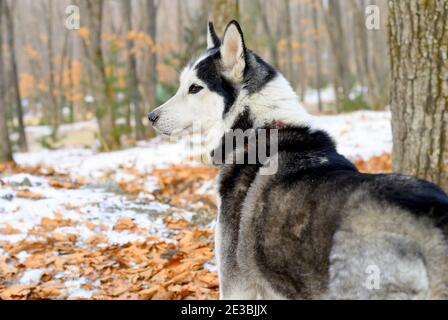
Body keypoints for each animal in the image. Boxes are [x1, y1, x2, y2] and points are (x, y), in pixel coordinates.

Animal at [150, 21, 448, 298]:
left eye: (195, 88)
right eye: (181, 85)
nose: (151, 116)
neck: (258, 126)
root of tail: (432, 216)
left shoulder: (237, 285)